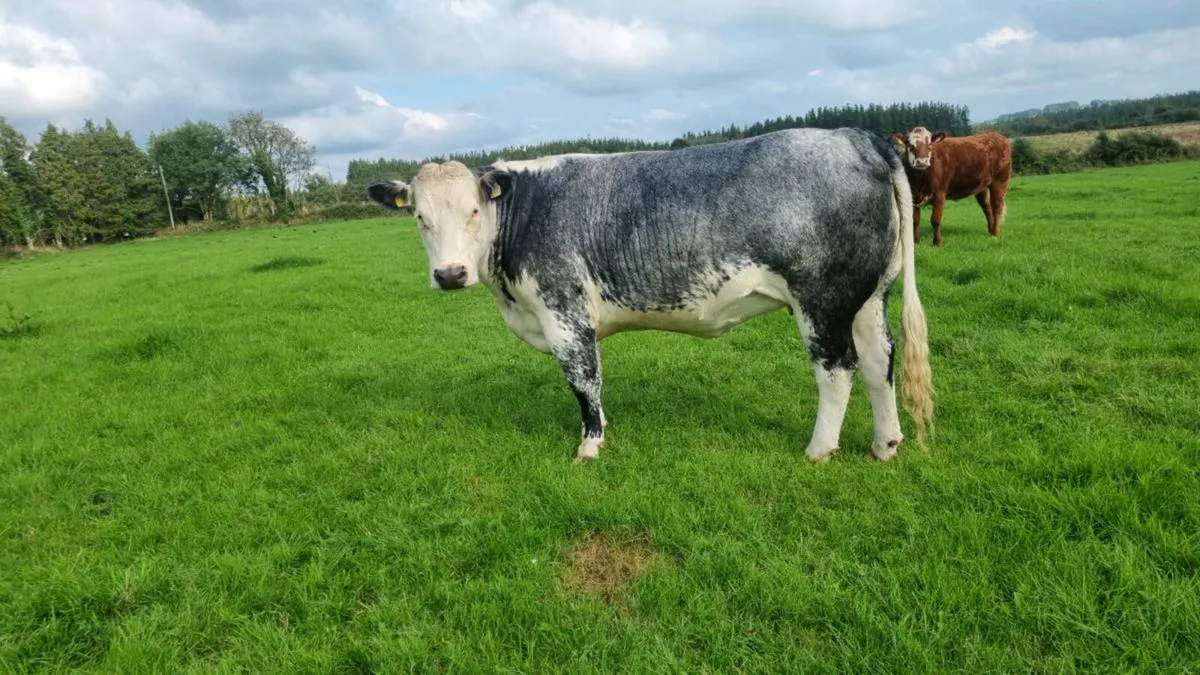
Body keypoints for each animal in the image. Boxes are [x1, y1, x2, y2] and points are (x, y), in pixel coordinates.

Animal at [367, 127, 935, 464]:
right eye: (419, 216)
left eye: (473, 211)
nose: (450, 273)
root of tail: (853, 136)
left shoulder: (564, 312)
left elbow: (584, 382)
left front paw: (589, 447)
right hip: (868, 295)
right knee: (878, 360)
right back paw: (885, 443)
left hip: (823, 297)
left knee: (837, 368)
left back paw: (819, 449)